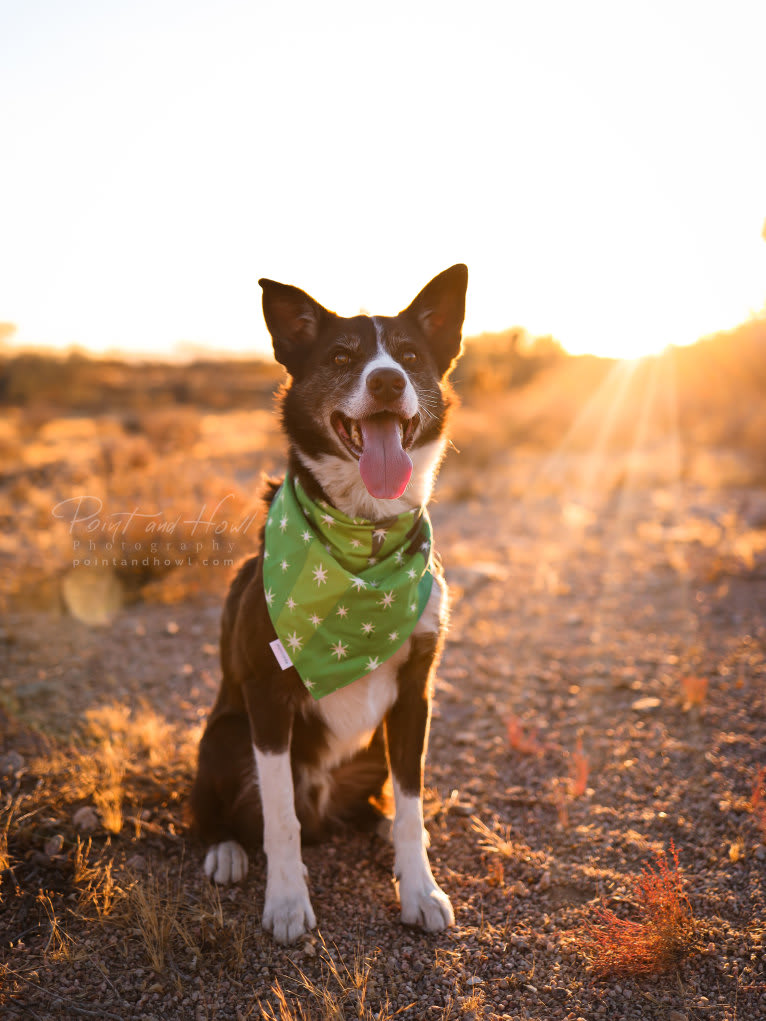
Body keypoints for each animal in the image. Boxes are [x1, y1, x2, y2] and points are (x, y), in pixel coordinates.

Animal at [192, 263, 467, 939]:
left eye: (410, 355)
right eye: (342, 356)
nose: (388, 380)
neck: (365, 532)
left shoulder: (417, 693)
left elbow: (412, 806)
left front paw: (420, 889)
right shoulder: (266, 696)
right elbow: (279, 818)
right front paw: (288, 903)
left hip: (375, 748)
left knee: (384, 801)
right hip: (222, 736)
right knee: (218, 813)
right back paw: (225, 851)